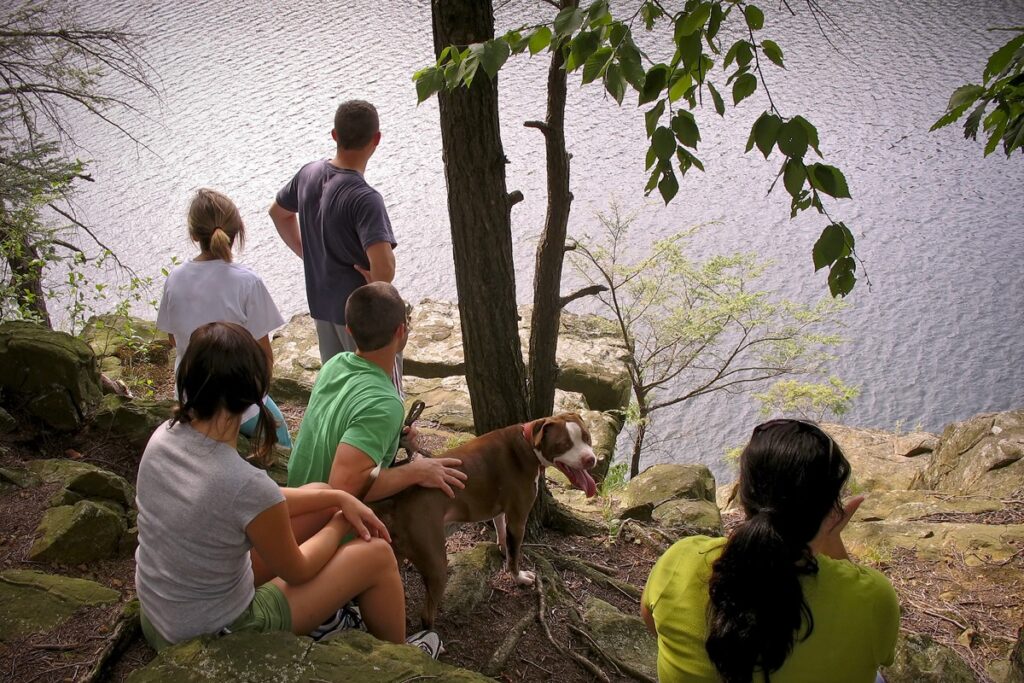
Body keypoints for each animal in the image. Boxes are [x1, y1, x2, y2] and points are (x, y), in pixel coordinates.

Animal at [372, 411, 598, 630]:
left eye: (587, 437)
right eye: (564, 444)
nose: (590, 459)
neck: (528, 443)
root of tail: (395, 502)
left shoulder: (501, 511)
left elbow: (503, 534)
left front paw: (503, 549)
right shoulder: (519, 517)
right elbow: (515, 556)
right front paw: (519, 577)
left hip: (396, 554)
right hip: (436, 565)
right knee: (427, 614)